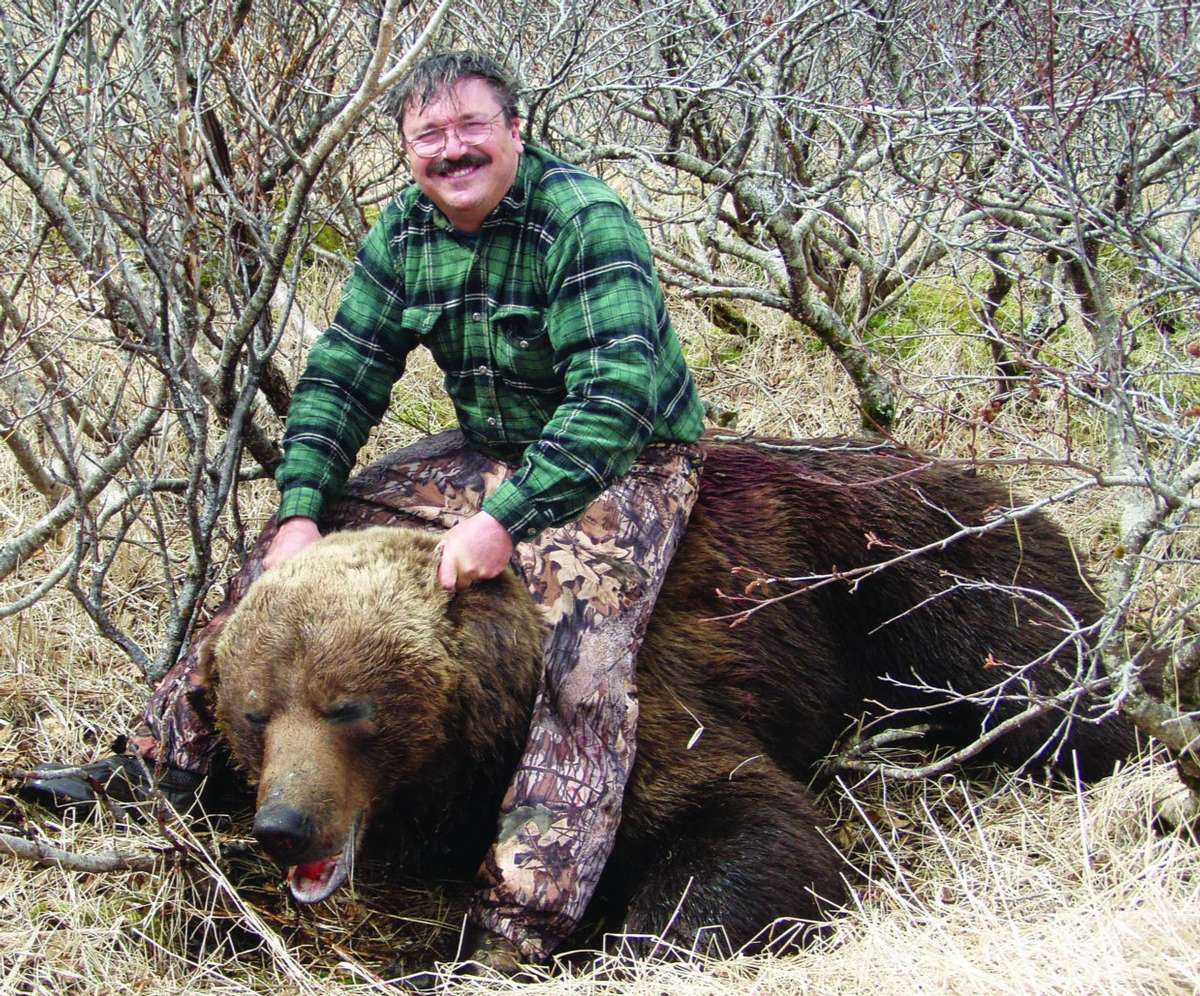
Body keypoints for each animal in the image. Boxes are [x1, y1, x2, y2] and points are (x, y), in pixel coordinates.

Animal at [204, 437, 1134, 957]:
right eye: (254, 714)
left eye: (350, 709)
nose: (285, 826)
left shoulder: (618, 699)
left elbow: (746, 825)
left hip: (911, 571)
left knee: (1042, 684)